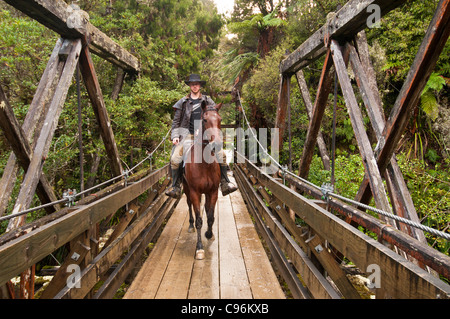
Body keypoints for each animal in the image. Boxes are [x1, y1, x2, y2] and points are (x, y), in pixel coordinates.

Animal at [182, 102, 222, 260]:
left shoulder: (213, 191)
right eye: (205, 120)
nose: (217, 145)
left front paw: (209, 234)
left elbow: (210, 216)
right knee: (189, 205)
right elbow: (199, 219)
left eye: (220, 119)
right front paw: (199, 247)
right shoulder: (194, 192)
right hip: (186, 189)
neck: (204, 165)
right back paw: (190, 225)